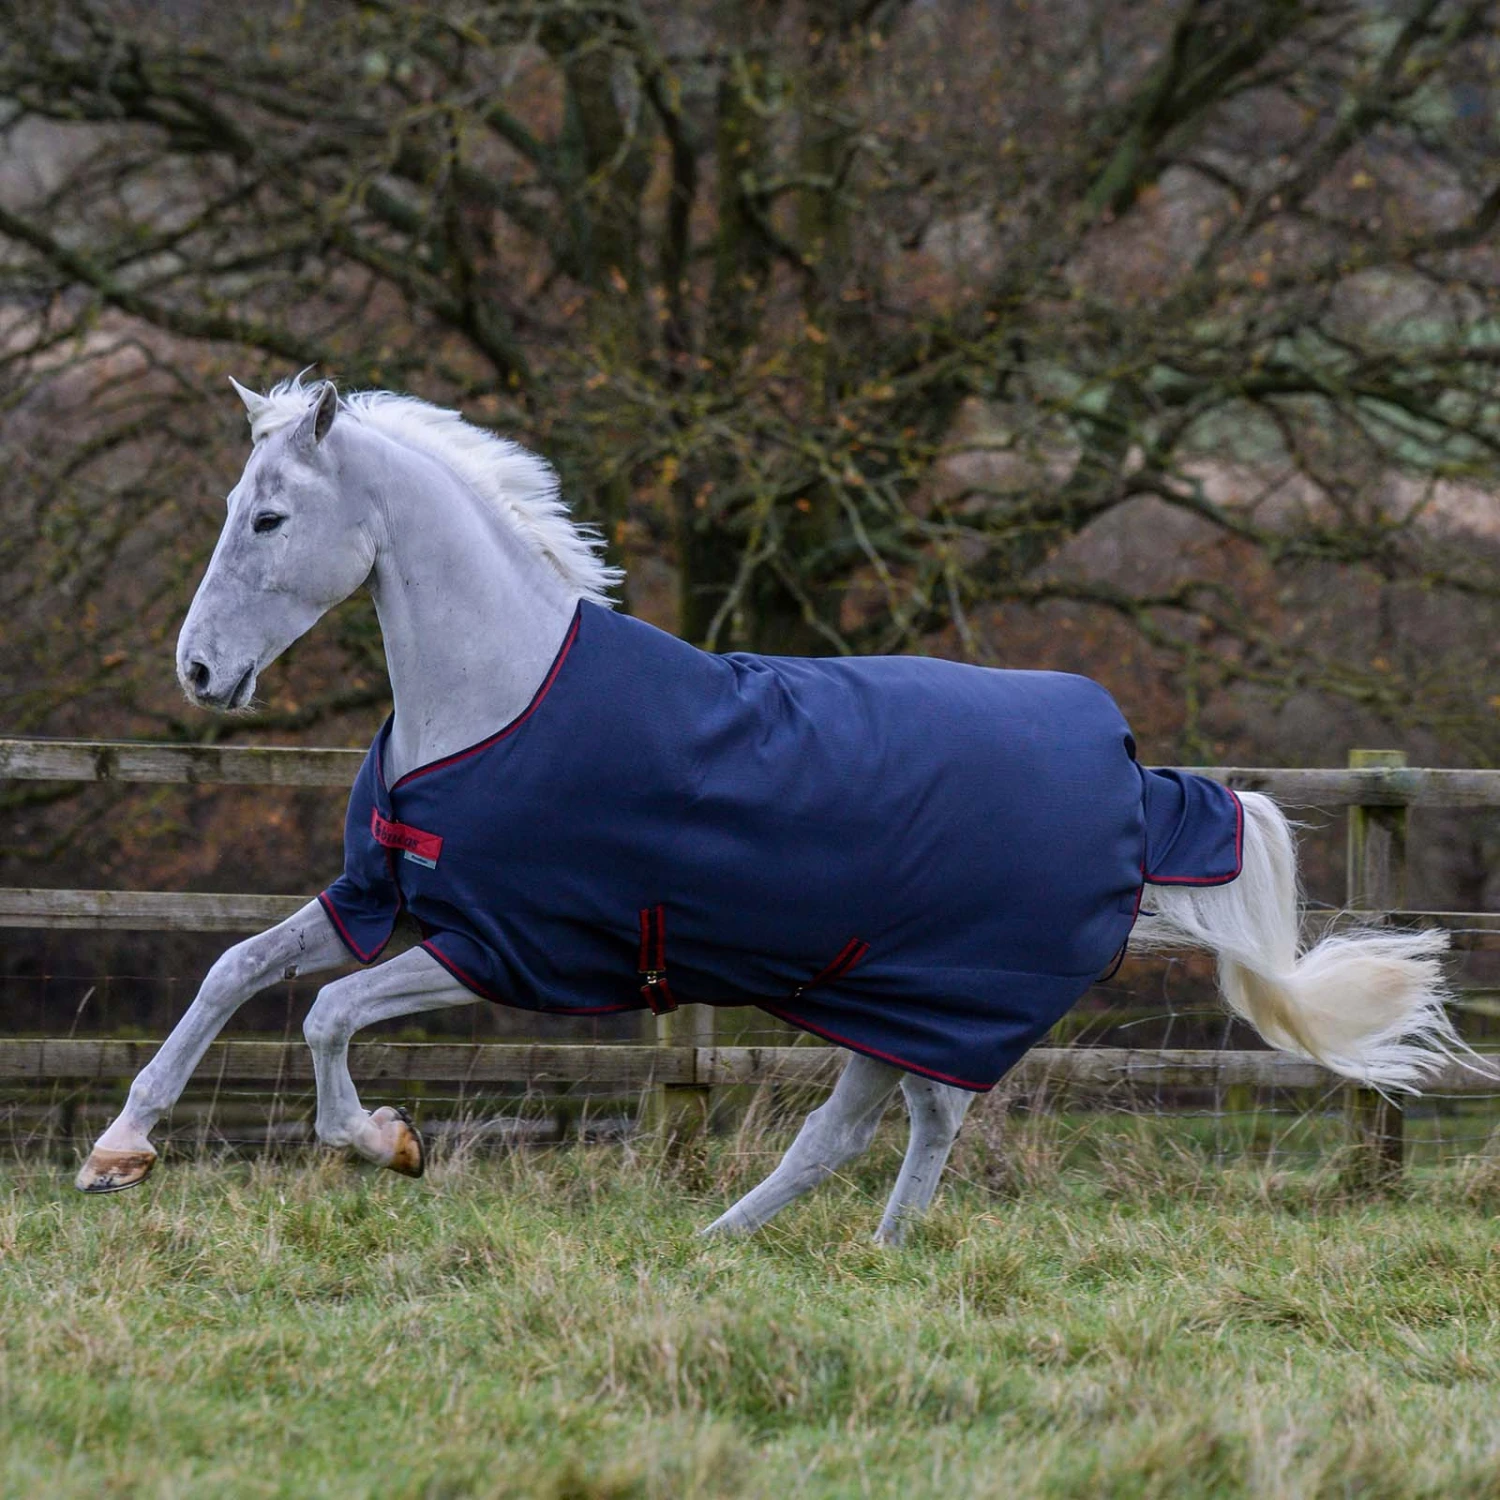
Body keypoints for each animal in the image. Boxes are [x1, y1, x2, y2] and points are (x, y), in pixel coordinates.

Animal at [75, 376, 1460, 1244]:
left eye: (269, 516)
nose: (198, 672)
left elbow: (322, 1016)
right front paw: (119, 1152)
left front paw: (386, 1143)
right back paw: (747, 1245)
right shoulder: (384, 896)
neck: (497, 694)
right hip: (888, 1002)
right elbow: (235, 971)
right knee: (867, 1126)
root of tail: (1132, 775)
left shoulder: (506, 950)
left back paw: (811, 1250)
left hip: (938, 1000)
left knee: (897, 1124)